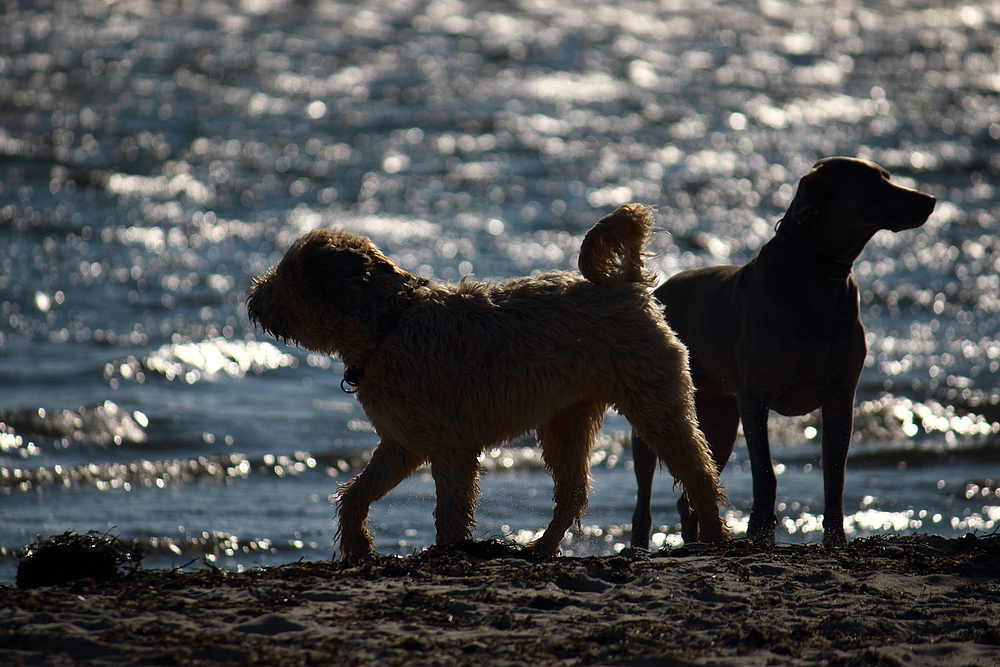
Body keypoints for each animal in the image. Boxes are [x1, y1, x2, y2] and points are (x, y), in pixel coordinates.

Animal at [242, 205, 728, 564]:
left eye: (286, 274)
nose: (252, 296)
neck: (388, 327)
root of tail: (628, 285)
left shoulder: (450, 450)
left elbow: (450, 513)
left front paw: (446, 555)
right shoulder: (402, 444)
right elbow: (356, 494)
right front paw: (359, 547)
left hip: (655, 406)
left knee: (700, 474)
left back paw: (716, 540)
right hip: (565, 421)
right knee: (573, 494)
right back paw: (541, 549)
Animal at [632, 157, 936, 548]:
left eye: (886, 176)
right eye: (873, 183)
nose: (930, 200)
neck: (816, 273)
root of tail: (660, 291)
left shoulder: (840, 396)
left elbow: (834, 474)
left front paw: (835, 538)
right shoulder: (754, 397)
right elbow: (765, 471)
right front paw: (760, 531)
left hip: (719, 417)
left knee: (693, 490)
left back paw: (701, 542)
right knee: (643, 493)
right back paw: (641, 545)